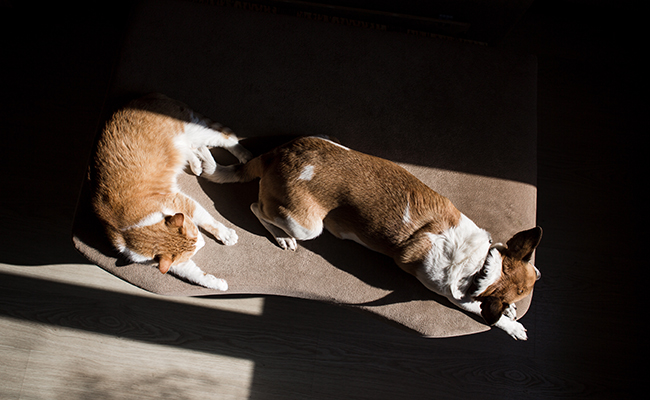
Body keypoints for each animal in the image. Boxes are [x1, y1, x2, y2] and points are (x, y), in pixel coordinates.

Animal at [92, 94, 249, 290]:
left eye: (196, 232)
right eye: (194, 245)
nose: (203, 242)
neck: (130, 223)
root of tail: (146, 97)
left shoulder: (180, 201)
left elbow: (209, 220)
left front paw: (226, 234)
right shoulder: (169, 262)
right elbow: (194, 275)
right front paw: (216, 284)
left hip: (194, 132)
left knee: (225, 137)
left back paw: (244, 155)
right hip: (184, 142)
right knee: (193, 148)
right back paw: (197, 164)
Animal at [206, 136, 536, 340]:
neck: (480, 264)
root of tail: (275, 155)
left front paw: (510, 312)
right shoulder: (451, 295)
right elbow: (483, 313)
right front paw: (511, 325)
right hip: (307, 226)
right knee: (257, 208)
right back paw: (281, 237)